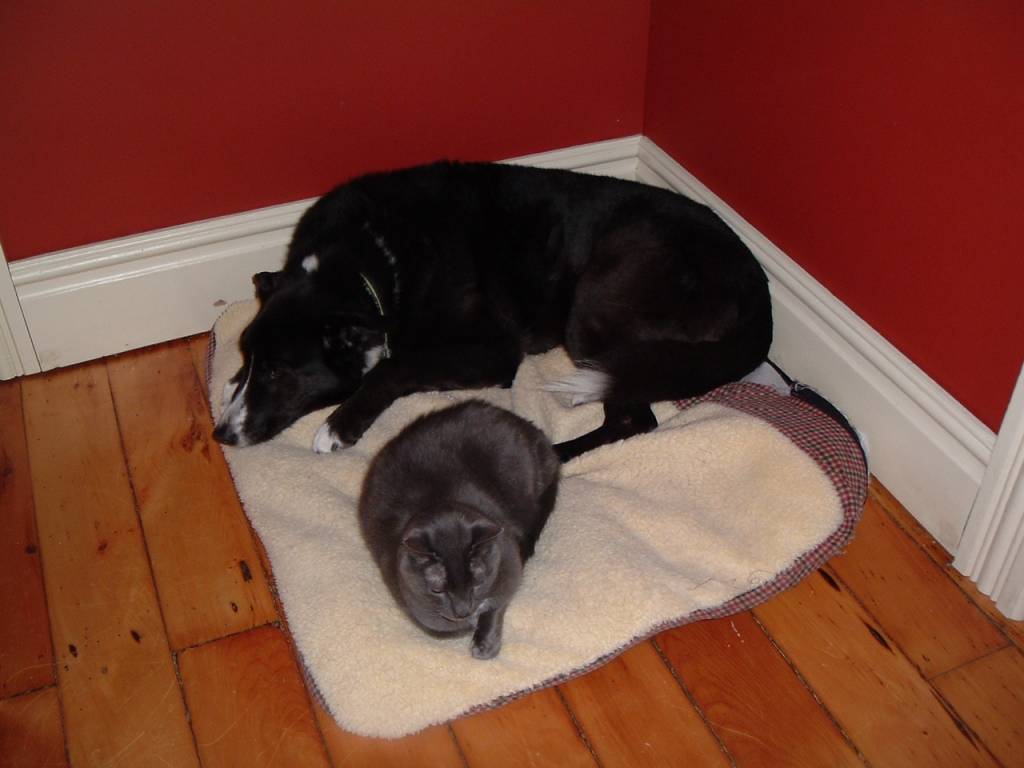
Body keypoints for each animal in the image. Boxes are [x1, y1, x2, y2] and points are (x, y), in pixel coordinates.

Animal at [212, 161, 772, 461]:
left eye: (281, 373)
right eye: (249, 359)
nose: (221, 434)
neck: (366, 263)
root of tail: (757, 287)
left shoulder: (492, 352)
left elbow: (396, 366)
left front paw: (341, 424)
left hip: (595, 302)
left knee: (635, 417)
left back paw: (555, 453)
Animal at [358, 400, 560, 659]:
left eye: (477, 581)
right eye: (437, 590)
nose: (463, 610)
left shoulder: (508, 561)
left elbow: (497, 602)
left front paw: (485, 644)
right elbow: (437, 625)